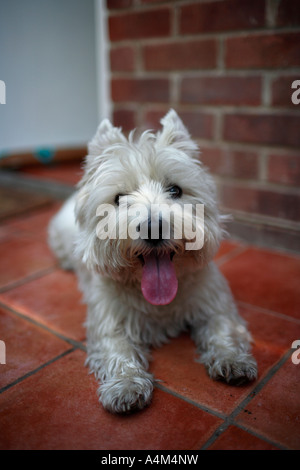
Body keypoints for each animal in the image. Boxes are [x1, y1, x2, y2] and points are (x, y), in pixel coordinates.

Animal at [48, 110, 256, 414]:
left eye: (175, 190)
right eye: (119, 198)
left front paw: (233, 360)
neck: (159, 304)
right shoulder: (109, 321)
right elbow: (118, 350)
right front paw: (126, 385)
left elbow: (224, 329)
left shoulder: (214, 303)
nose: (153, 228)